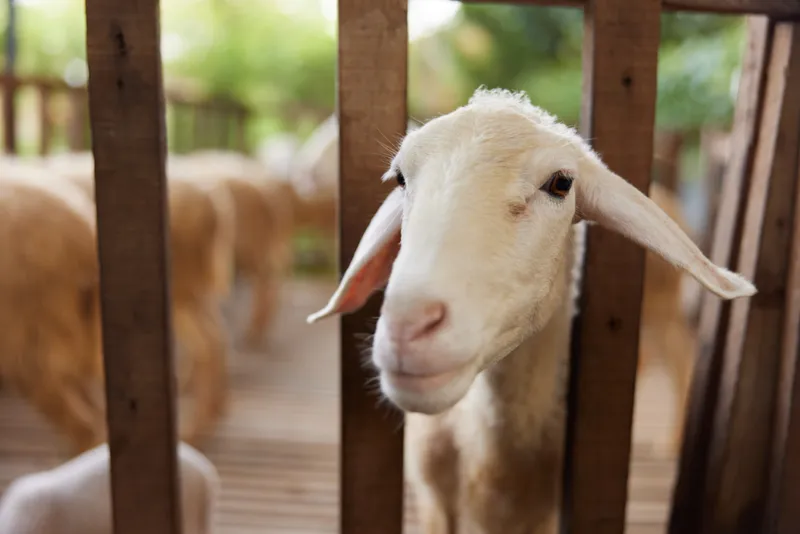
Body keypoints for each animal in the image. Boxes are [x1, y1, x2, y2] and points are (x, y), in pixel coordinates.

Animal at [43, 152, 236, 446]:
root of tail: (211, 202)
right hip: (189, 293)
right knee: (213, 337)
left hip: (183, 291)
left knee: (209, 341)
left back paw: (197, 425)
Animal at [307, 88, 755, 533]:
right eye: (400, 178)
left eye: (560, 183)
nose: (408, 328)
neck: (497, 465)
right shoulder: (433, 501)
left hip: (663, 307)